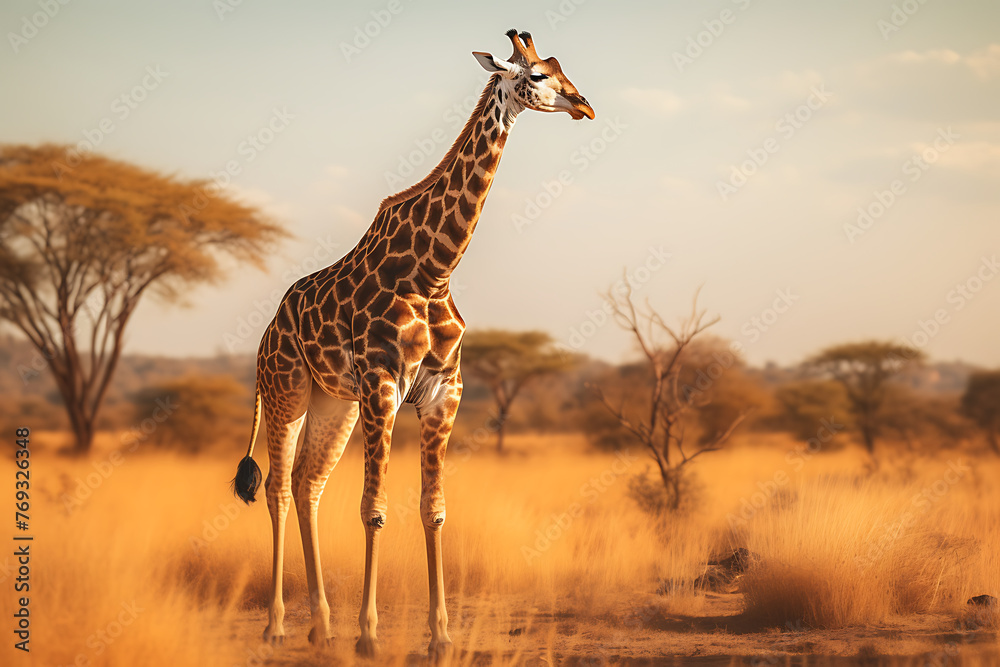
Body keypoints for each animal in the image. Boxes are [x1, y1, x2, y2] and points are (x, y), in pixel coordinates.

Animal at [231, 29, 594, 656]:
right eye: (537, 76)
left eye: (561, 68)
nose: (584, 106)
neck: (434, 270)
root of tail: (267, 332)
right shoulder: (381, 387)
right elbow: (374, 509)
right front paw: (369, 637)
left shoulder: (443, 392)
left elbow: (434, 510)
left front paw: (440, 637)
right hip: (287, 391)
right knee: (276, 486)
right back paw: (278, 626)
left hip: (335, 403)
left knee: (307, 485)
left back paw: (320, 626)